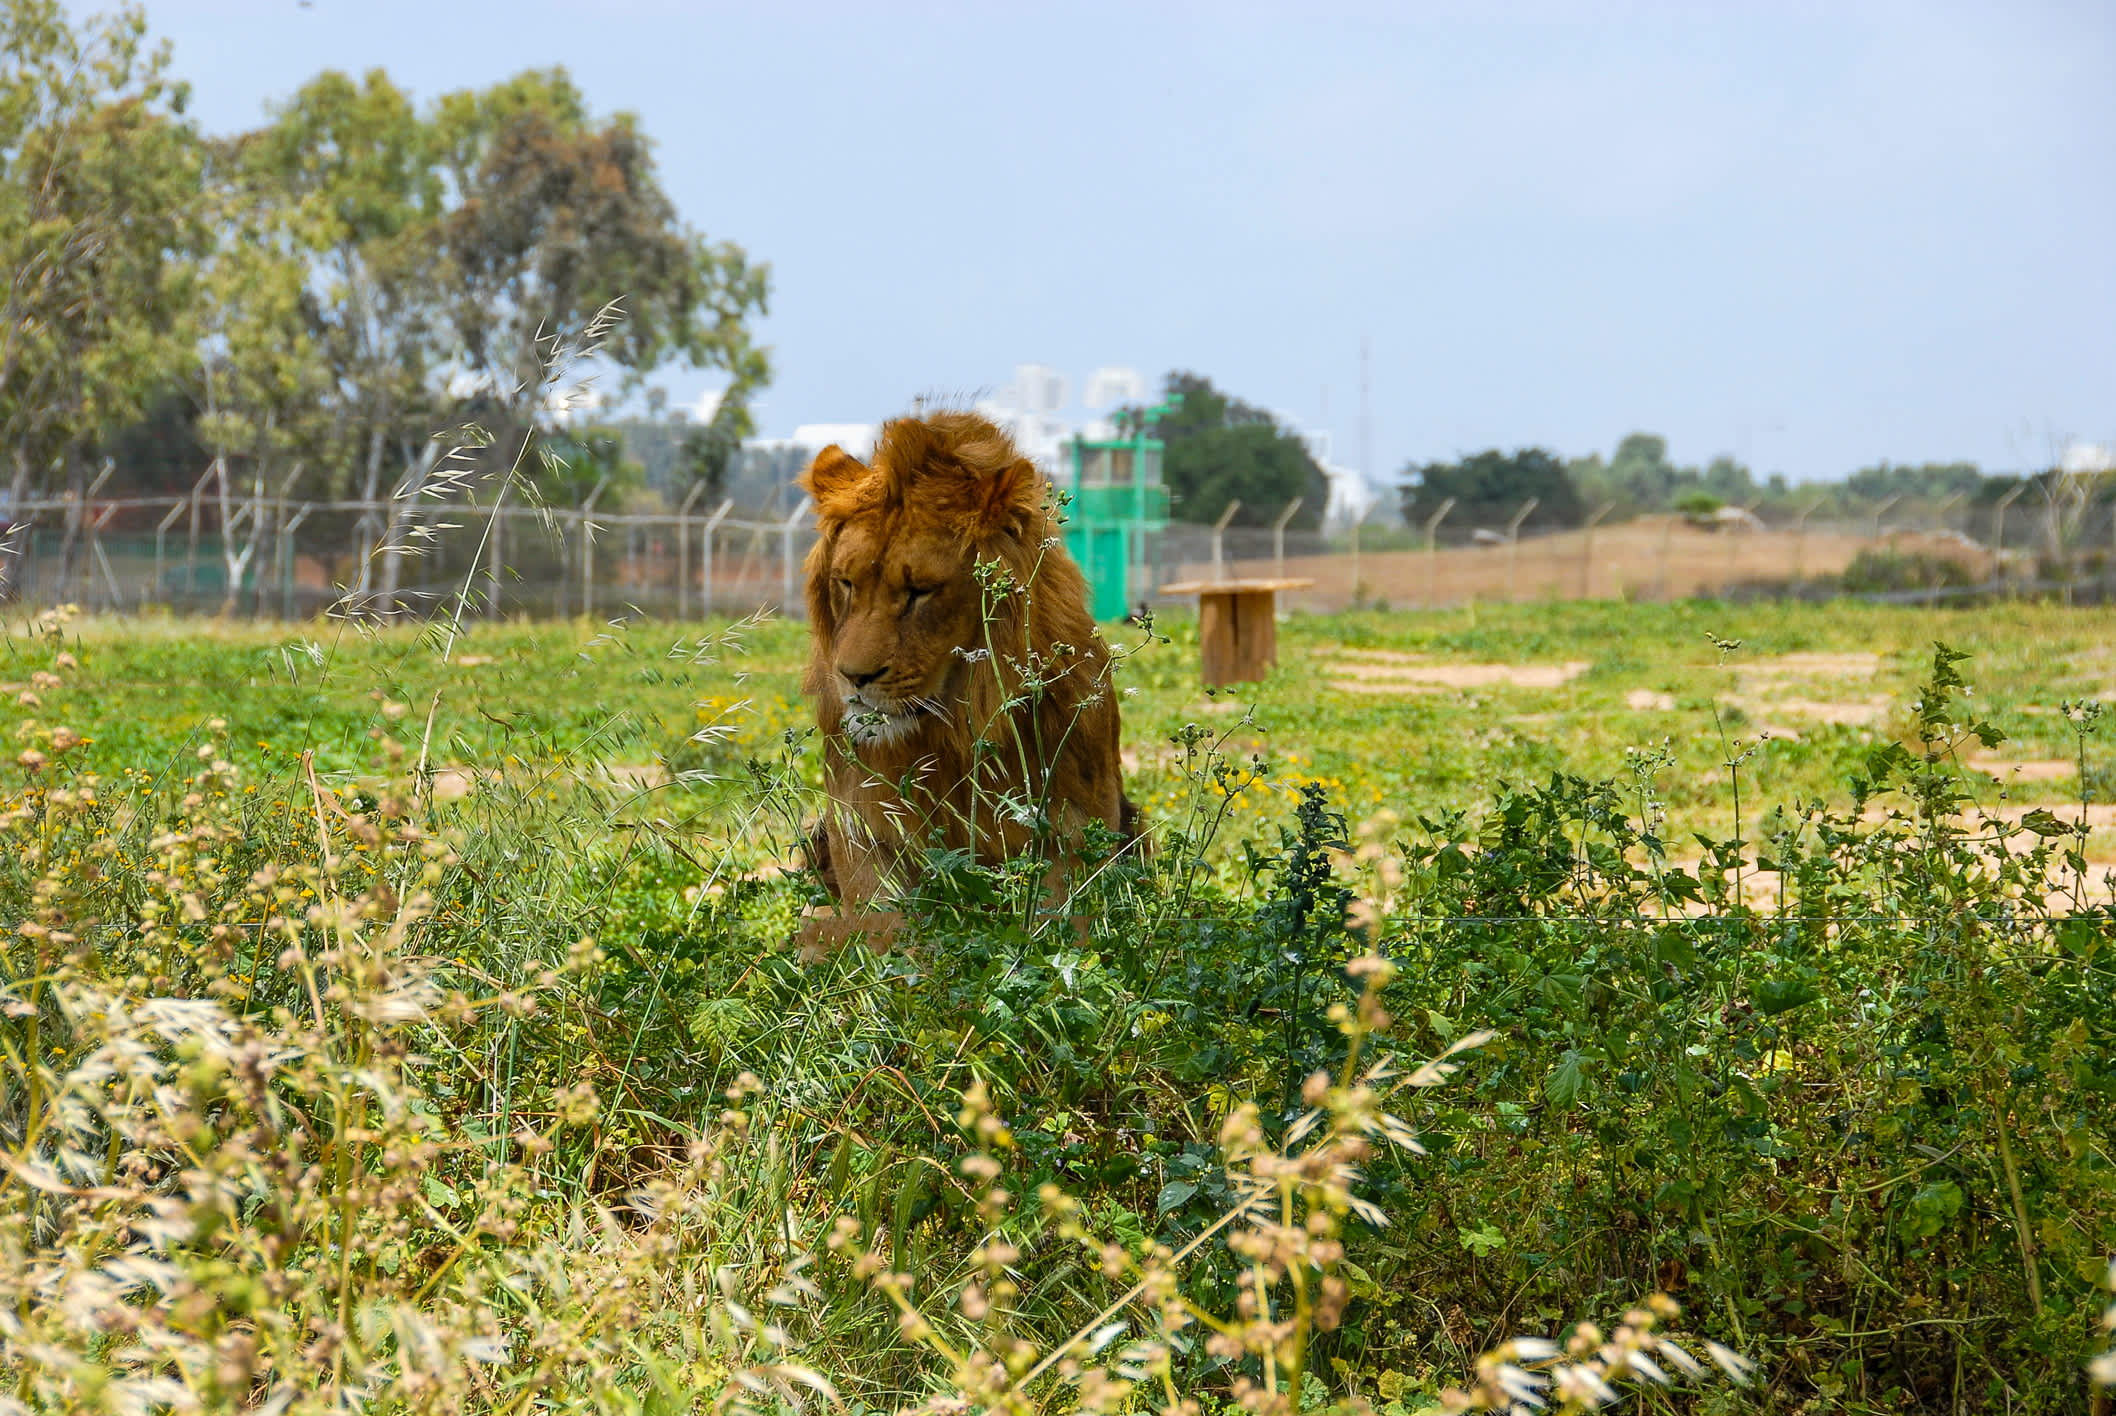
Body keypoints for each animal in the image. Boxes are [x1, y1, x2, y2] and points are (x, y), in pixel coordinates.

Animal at [796, 410, 1140, 946]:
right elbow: (882, 931)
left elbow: (1060, 925)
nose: (852, 677)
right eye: (847, 583)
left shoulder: (1075, 828)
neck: (951, 729)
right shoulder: (861, 826)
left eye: (920, 590)